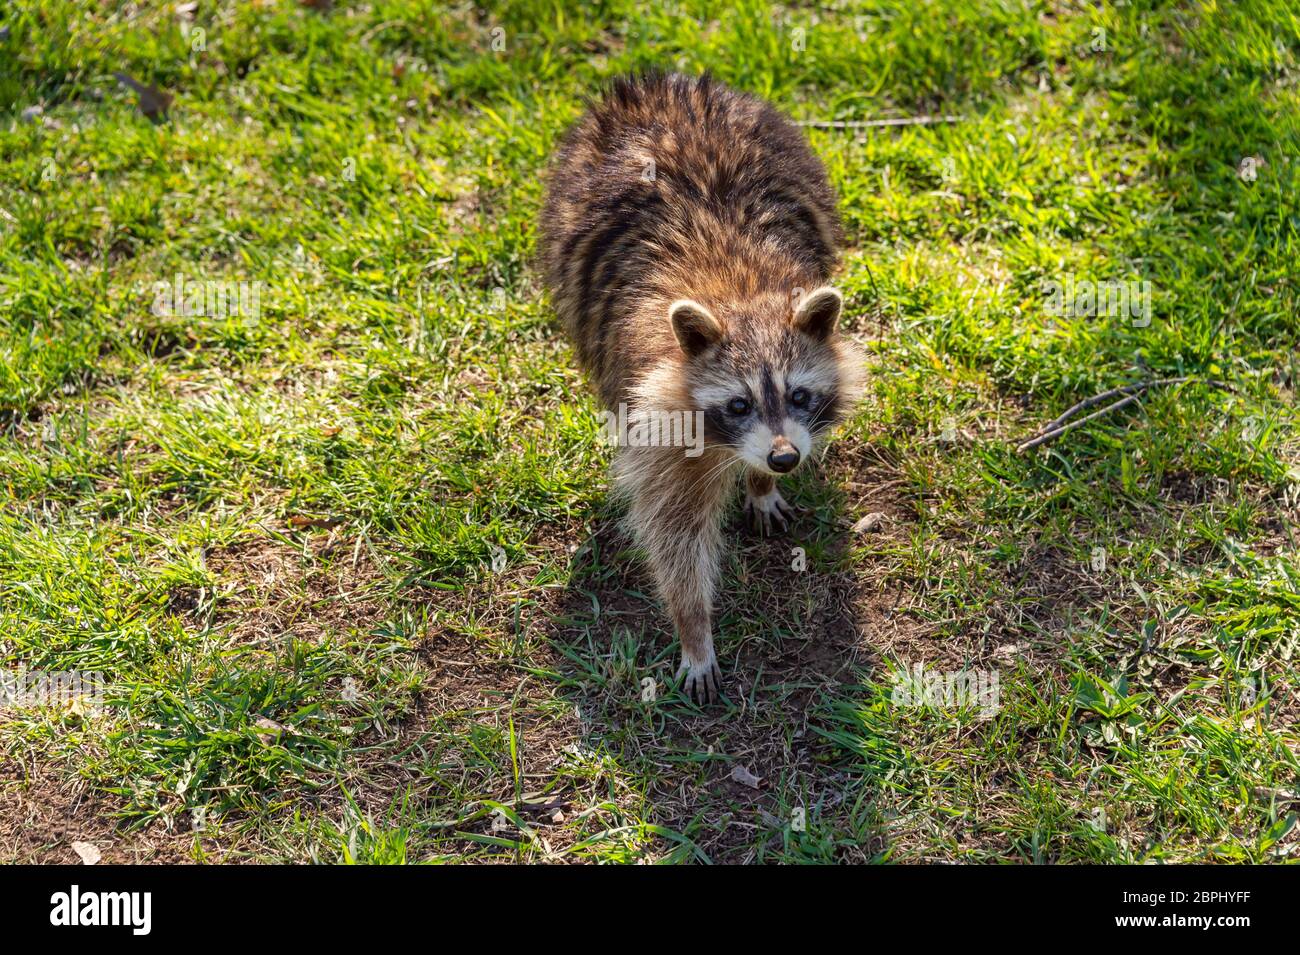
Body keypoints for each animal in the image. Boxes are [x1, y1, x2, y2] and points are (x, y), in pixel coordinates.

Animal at [540, 72, 862, 703]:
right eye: (737, 404)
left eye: (799, 396)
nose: (783, 459)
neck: (739, 296)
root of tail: (653, 86)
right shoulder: (662, 420)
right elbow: (675, 532)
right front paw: (694, 627)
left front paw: (761, 483)